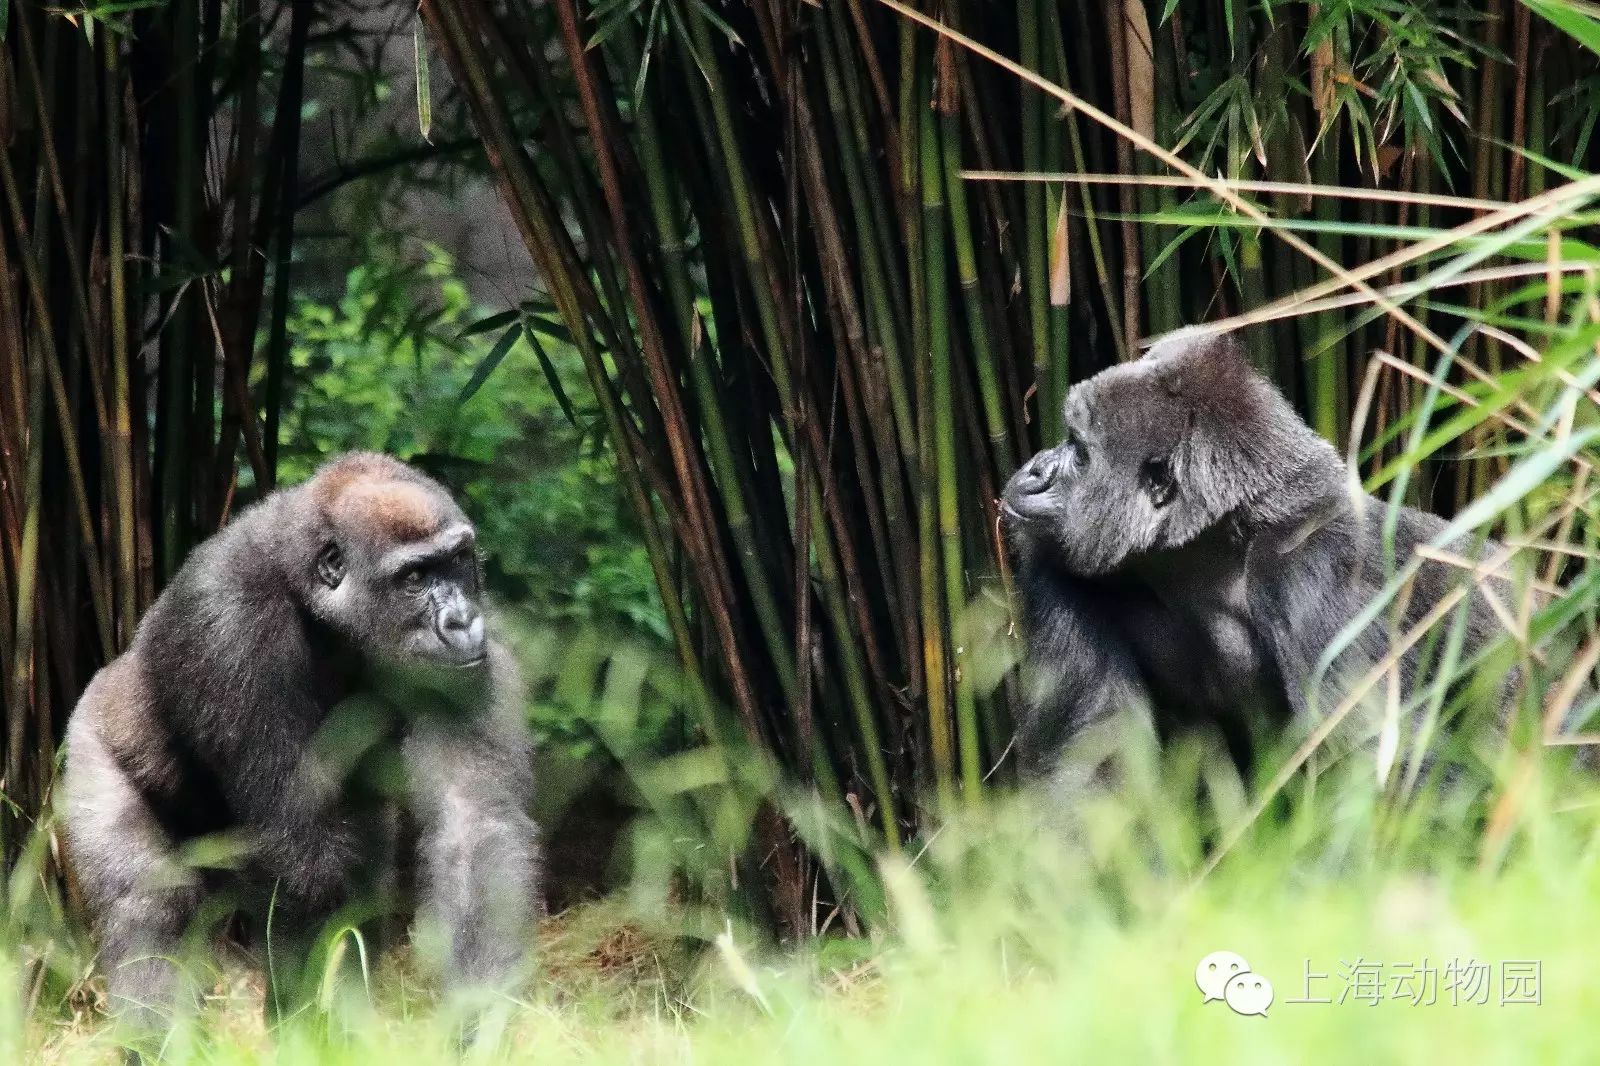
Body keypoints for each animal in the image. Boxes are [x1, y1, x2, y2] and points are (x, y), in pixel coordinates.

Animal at [60, 448, 544, 1030]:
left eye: (457, 562)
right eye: (414, 576)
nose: (462, 621)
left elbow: (472, 827)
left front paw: (477, 1021)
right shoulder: (229, 626)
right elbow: (306, 857)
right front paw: (311, 1030)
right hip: (89, 743)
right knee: (149, 902)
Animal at [1004, 328, 1504, 784]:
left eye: (1079, 451)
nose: (1035, 470)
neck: (1208, 552)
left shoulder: (1316, 569)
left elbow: (1390, 764)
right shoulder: (1057, 564)